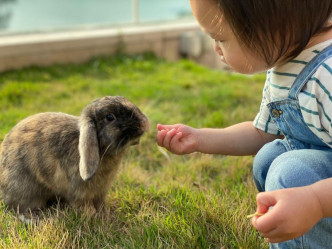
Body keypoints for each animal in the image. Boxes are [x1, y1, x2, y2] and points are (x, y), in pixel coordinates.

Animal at [0, 95, 149, 220]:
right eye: (110, 117)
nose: (144, 123)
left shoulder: (100, 193)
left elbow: (100, 205)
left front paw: (104, 216)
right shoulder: (80, 194)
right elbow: (84, 207)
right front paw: (93, 218)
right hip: (27, 190)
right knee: (23, 208)